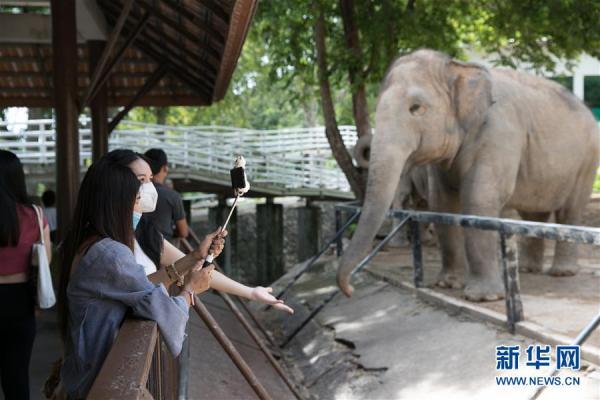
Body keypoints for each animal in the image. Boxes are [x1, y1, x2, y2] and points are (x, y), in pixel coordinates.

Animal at [338, 49, 600, 300]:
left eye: (416, 108)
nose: (350, 289)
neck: (457, 67)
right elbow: (442, 205)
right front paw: (448, 284)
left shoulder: (498, 133)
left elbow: (478, 199)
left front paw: (482, 297)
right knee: (534, 214)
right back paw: (528, 269)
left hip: (587, 162)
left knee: (569, 211)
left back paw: (562, 273)